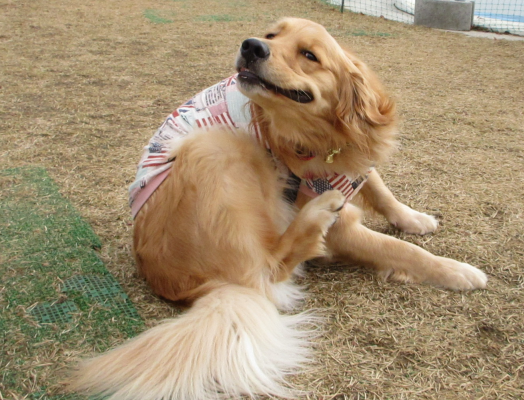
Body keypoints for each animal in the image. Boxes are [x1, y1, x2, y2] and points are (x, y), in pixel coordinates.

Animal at [67, 18, 487, 400]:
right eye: (271, 35)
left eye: (309, 55)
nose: (252, 46)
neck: (323, 137)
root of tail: (198, 288)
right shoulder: (343, 229)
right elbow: (403, 250)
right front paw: (457, 271)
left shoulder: (356, 167)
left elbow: (380, 189)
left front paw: (414, 218)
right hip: (218, 147)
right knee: (272, 266)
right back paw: (317, 213)